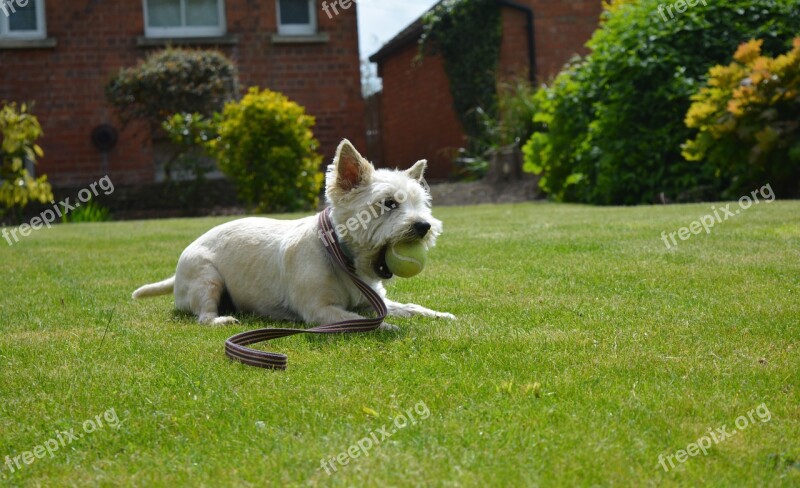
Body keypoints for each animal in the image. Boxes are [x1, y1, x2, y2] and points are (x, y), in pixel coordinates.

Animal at [134, 139, 454, 330]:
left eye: (421, 204)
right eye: (389, 203)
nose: (424, 226)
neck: (342, 259)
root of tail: (176, 275)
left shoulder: (373, 301)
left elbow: (410, 307)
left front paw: (440, 315)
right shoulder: (320, 311)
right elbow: (359, 320)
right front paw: (388, 327)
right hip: (207, 278)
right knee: (203, 315)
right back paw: (221, 319)